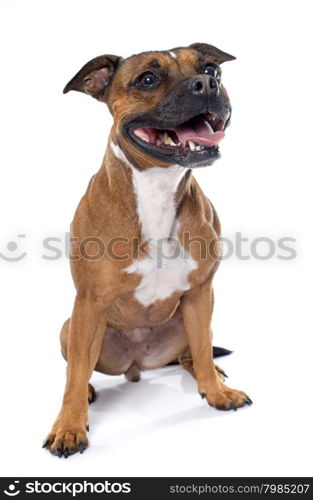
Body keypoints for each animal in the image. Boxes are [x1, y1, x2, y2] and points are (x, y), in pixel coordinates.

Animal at [42, 43, 251, 458]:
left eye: (210, 68)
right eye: (148, 79)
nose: (206, 83)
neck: (157, 186)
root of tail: (137, 364)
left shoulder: (201, 292)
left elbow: (203, 349)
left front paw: (217, 393)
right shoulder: (88, 302)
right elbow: (75, 373)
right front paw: (69, 426)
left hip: (188, 318)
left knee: (195, 351)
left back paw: (210, 376)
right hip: (72, 326)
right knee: (78, 367)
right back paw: (88, 391)